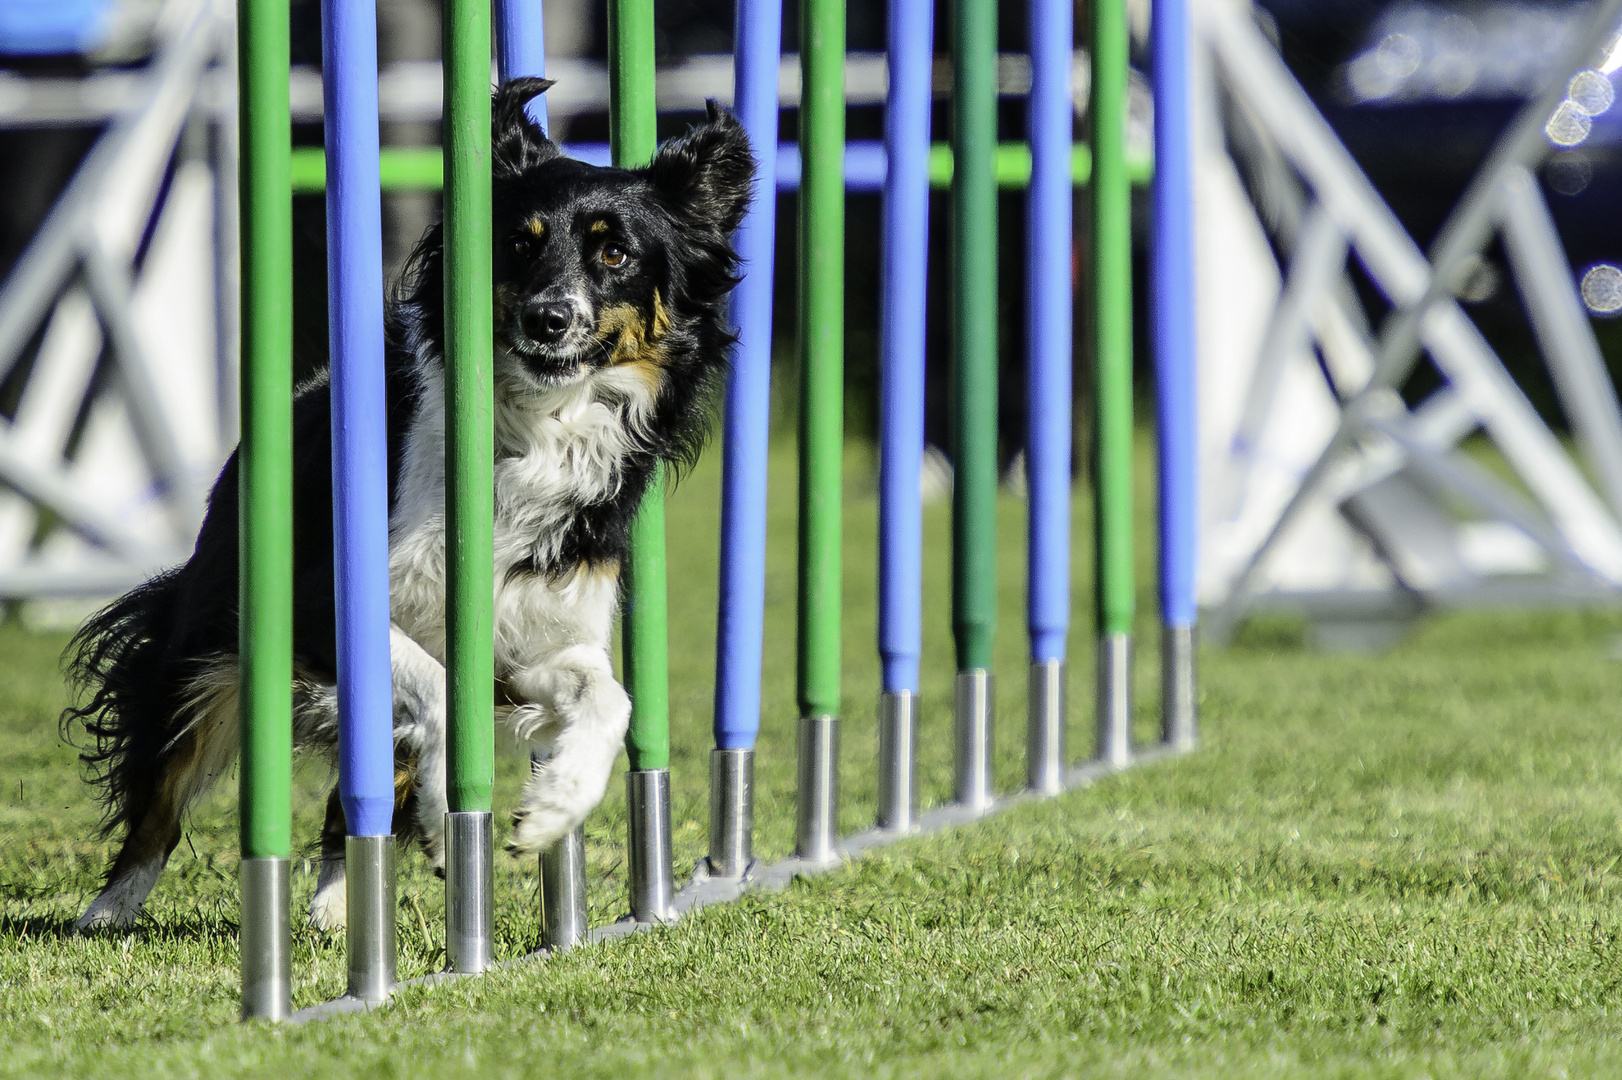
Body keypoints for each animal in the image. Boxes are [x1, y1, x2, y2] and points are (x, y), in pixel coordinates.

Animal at [60, 79, 749, 927]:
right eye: (518, 245)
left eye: (614, 252)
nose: (548, 319)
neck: (531, 430)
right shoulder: (328, 606)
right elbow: (441, 698)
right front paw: (448, 824)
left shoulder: (535, 632)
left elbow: (608, 699)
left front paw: (553, 809)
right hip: (211, 643)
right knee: (164, 789)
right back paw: (111, 909)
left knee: (355, 793)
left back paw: (336, 904)